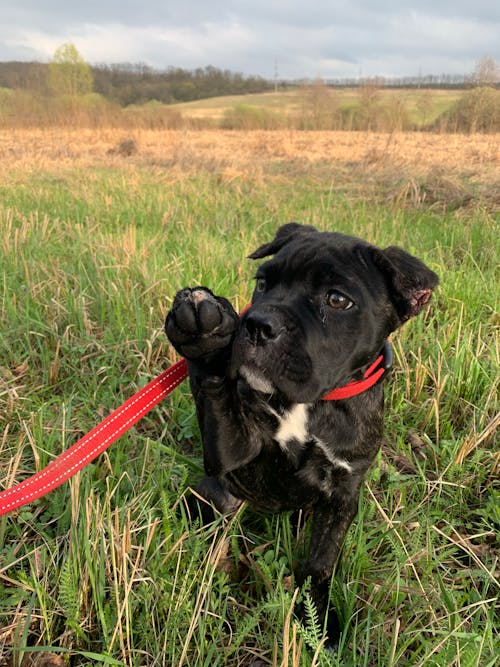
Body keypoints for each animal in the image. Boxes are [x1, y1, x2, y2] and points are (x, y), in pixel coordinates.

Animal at [164, 223, 438, 648]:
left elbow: (320, 562)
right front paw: (204, 334)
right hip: (217, 493)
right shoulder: (233, 451)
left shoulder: (342, 493)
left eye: (337, 300)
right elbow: (213, 379)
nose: (256, 324)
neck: (313, 403)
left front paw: (318, 619)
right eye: (263, 283)